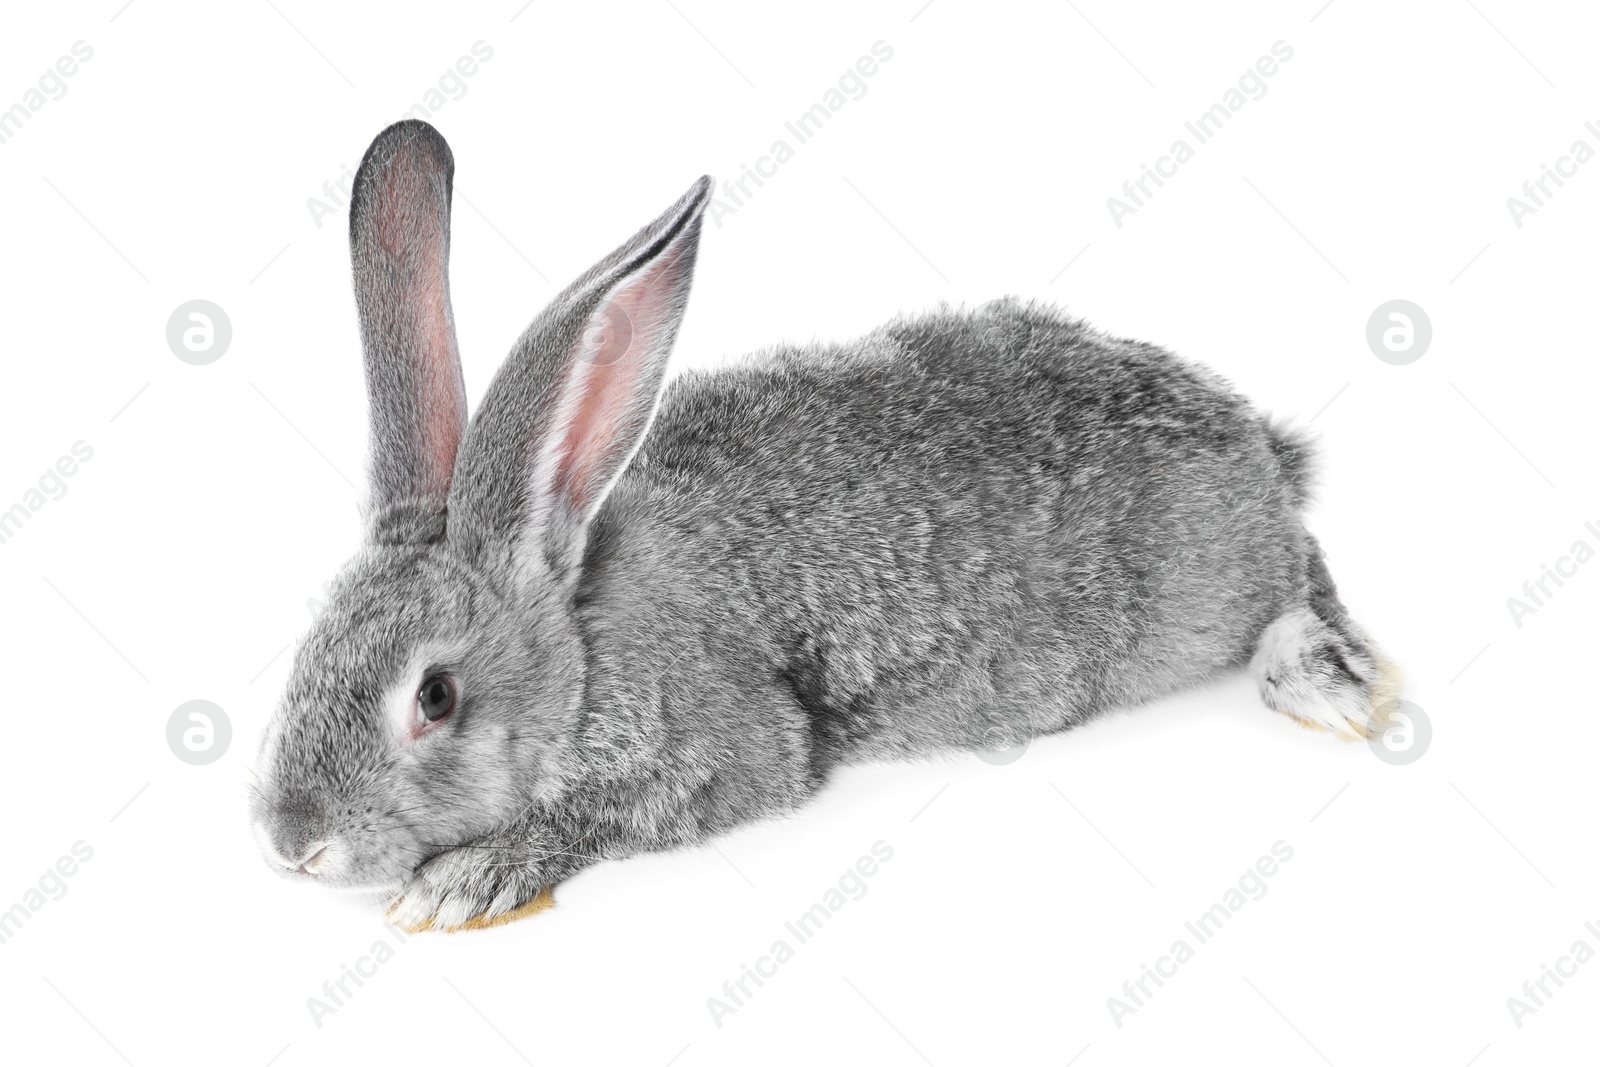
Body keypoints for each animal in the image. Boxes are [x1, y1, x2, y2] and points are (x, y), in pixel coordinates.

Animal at [249, 120, 1401, 927]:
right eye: (301, 653)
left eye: (435, 696)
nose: (291, 842)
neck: (578, 638)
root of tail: (1258, 442)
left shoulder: (724, 755)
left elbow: (601, 816)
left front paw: (460, 885)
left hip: (1224, 576)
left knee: (1306, 575)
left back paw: (1328, 682)